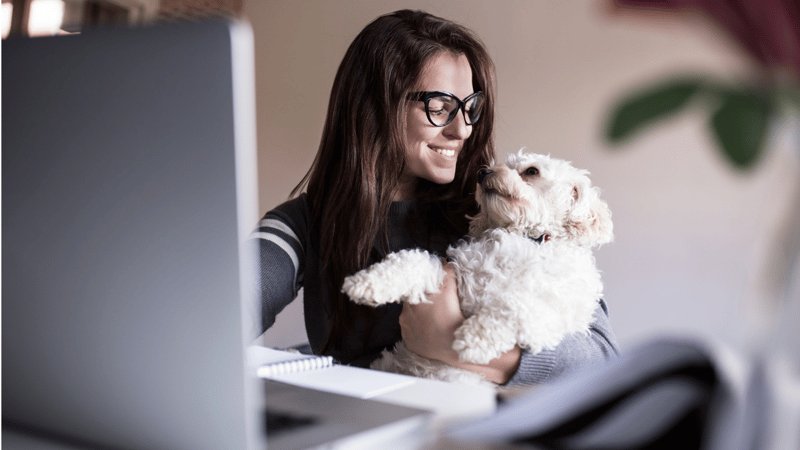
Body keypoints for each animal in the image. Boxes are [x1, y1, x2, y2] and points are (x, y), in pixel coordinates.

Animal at [340, 151, 612, 384]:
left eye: (532, 171)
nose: (483, 172)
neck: (527, 238)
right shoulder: (452, 274)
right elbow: (414, 260)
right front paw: (367, 283)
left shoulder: (554, 314)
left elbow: (514, 304)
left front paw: (475, 339)